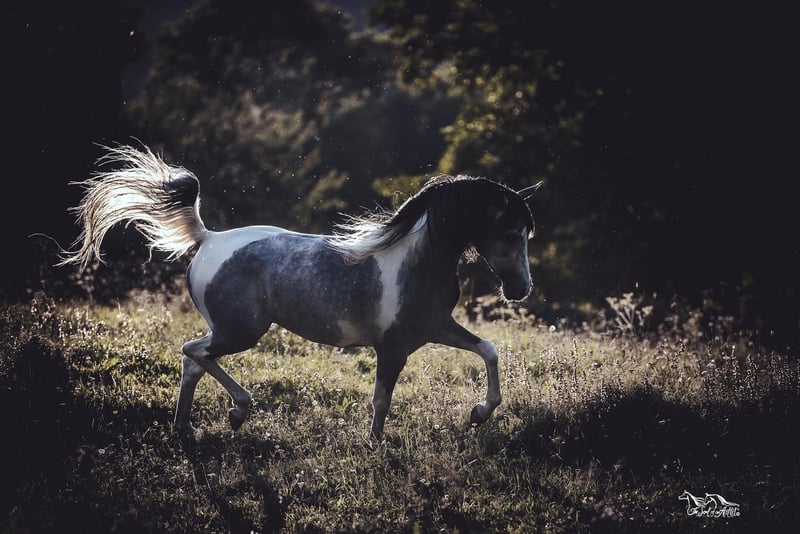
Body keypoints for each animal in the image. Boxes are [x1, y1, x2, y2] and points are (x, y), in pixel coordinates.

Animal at [60, 144, 542, 440]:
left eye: (525, 233)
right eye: (510, 232)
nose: (520, 289)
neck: (415, 262)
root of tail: (208, 238)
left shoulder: (435, 329)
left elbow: (489, 351)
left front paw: (479, 413)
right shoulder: (392, 348)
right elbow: (381, 400)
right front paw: (375, 446)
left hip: (232, 332)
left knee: (193, 361)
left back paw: (187, 428)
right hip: (241, 331)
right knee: (192, 351)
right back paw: (237, 411)